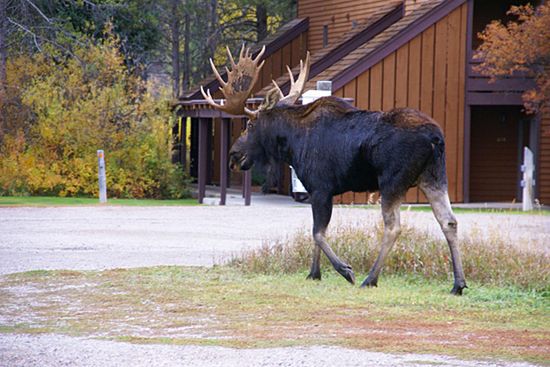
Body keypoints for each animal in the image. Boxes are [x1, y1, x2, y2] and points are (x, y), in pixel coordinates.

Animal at [201, 46, 468, 296]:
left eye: (250, 124)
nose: (233, 156)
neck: (292, 145)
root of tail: (435, 138)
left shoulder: (321, 187)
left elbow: (317, 232)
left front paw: (344, 270)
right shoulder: (315, 191)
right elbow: (316, 231)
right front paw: (313, 274)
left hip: (393, 181)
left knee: (394, 227)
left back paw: (370, 278)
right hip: (433, 177)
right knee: (449, 221)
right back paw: (458, 284)